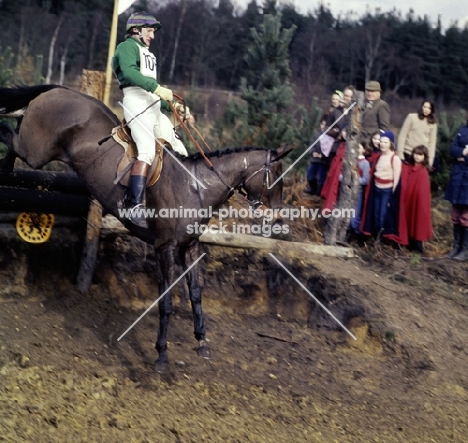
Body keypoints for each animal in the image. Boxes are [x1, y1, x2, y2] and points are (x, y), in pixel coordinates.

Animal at [0, 85, 288, 372]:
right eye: (276, 177)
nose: (276, 218)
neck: (195, 186)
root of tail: (59, 89)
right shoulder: (165, 248)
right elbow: (166, 300)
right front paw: (162, 355)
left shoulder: (190, 247)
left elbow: (195, 293)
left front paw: (202, 342)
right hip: (36, 152)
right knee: (8, 133)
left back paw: (7, 168)